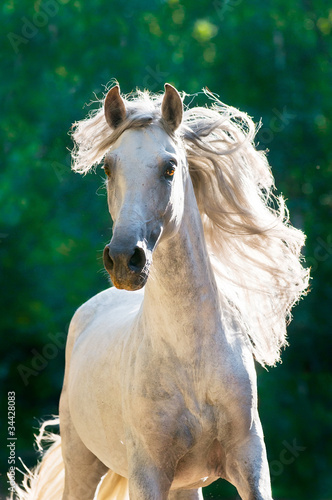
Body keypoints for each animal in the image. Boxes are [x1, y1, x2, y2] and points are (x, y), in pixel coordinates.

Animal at [13, 84, 308, 498]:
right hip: (83, 463)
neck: (191, 358)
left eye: (169, 168)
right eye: (108, 167)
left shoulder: (250, 462)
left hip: (185, 486)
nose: (125, 259)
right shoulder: (148, 472)